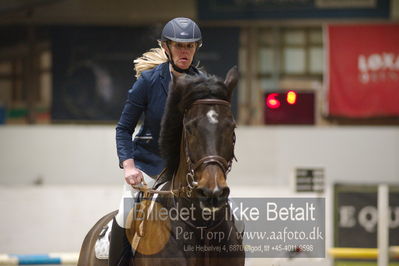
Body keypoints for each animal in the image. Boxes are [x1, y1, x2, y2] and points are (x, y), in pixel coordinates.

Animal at [77, 66, 244, 266]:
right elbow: (124, 127)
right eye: (189, 128)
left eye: (232, 127)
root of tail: (95, 230)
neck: (202, 225)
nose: (213, 193)